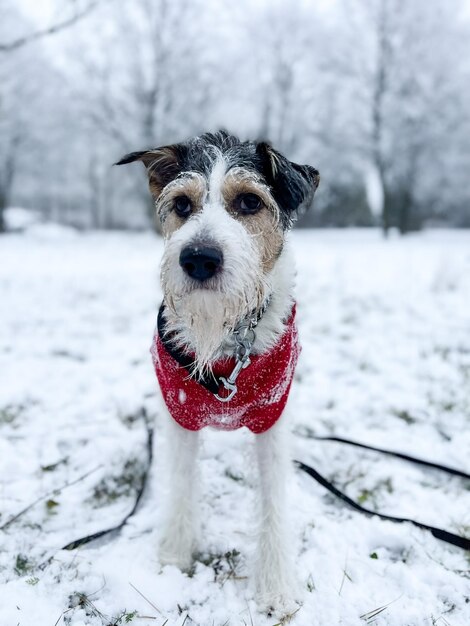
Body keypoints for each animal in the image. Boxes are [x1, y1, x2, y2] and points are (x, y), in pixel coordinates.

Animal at [117, 132, 320, 608]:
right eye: (182, 204)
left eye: (248, 202)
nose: (199, 258)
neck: (228, 344)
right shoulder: (180, 414)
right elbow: (181, 486)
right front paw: (174, 555)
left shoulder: (272, 416)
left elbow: (273, 498)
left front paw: (276, 586)